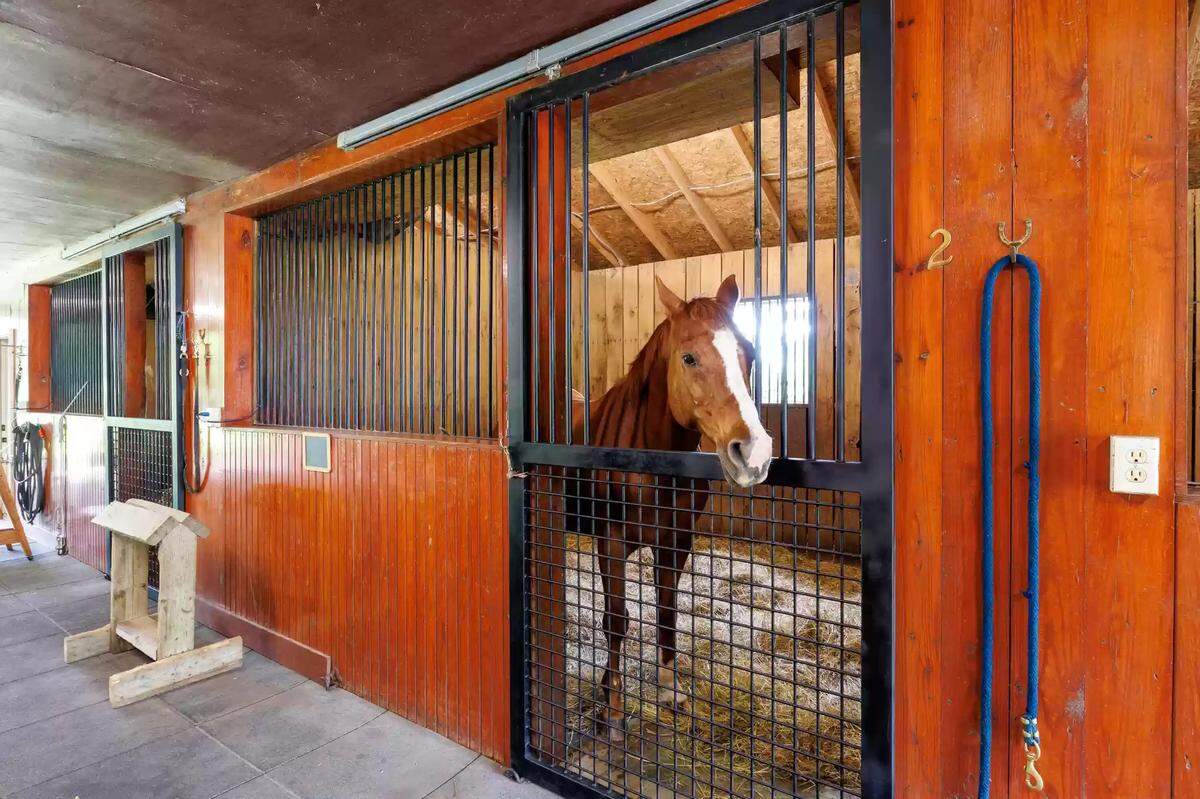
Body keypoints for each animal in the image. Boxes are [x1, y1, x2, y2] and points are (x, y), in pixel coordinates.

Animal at [569, 273, 772, 741]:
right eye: (688, 357)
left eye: (749, 352)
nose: (753, 453)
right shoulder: (611, 543)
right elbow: (616, 620)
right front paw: (613, 710)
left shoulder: (675, 542)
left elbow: (666, 611)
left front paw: (669, 690)